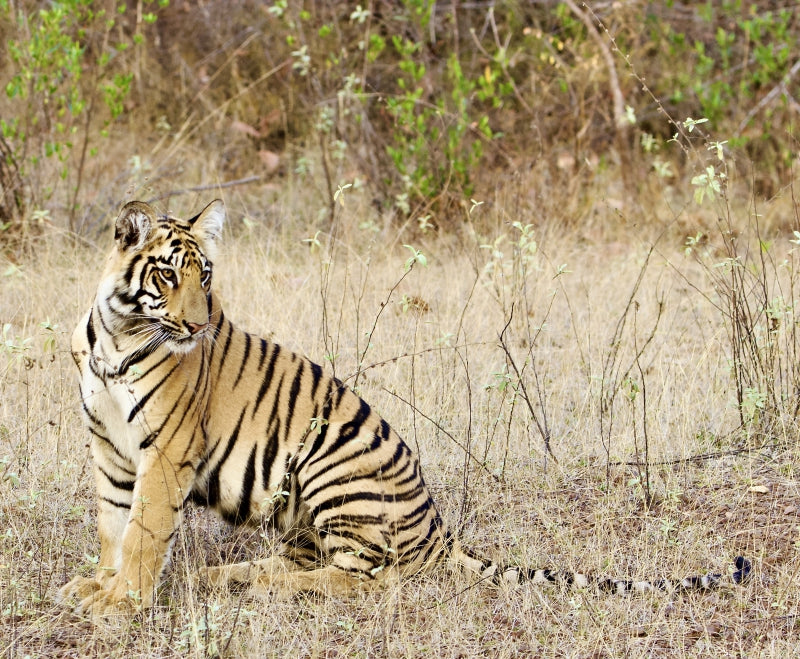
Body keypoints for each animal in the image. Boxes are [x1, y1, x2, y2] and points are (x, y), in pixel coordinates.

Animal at [58, 199, 751, 615]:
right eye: (169, 276)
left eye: (205, 276)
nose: (202, 323)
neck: (119, 335)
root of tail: (440, 528)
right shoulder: (110, 448)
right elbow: (114, 525)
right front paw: (99, 585)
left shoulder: (166, 451)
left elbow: (144, 531)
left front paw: (121, 604)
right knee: (316, 560)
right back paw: (227, 578)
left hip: (333, 464)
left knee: (365, 579)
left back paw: (258, 585)